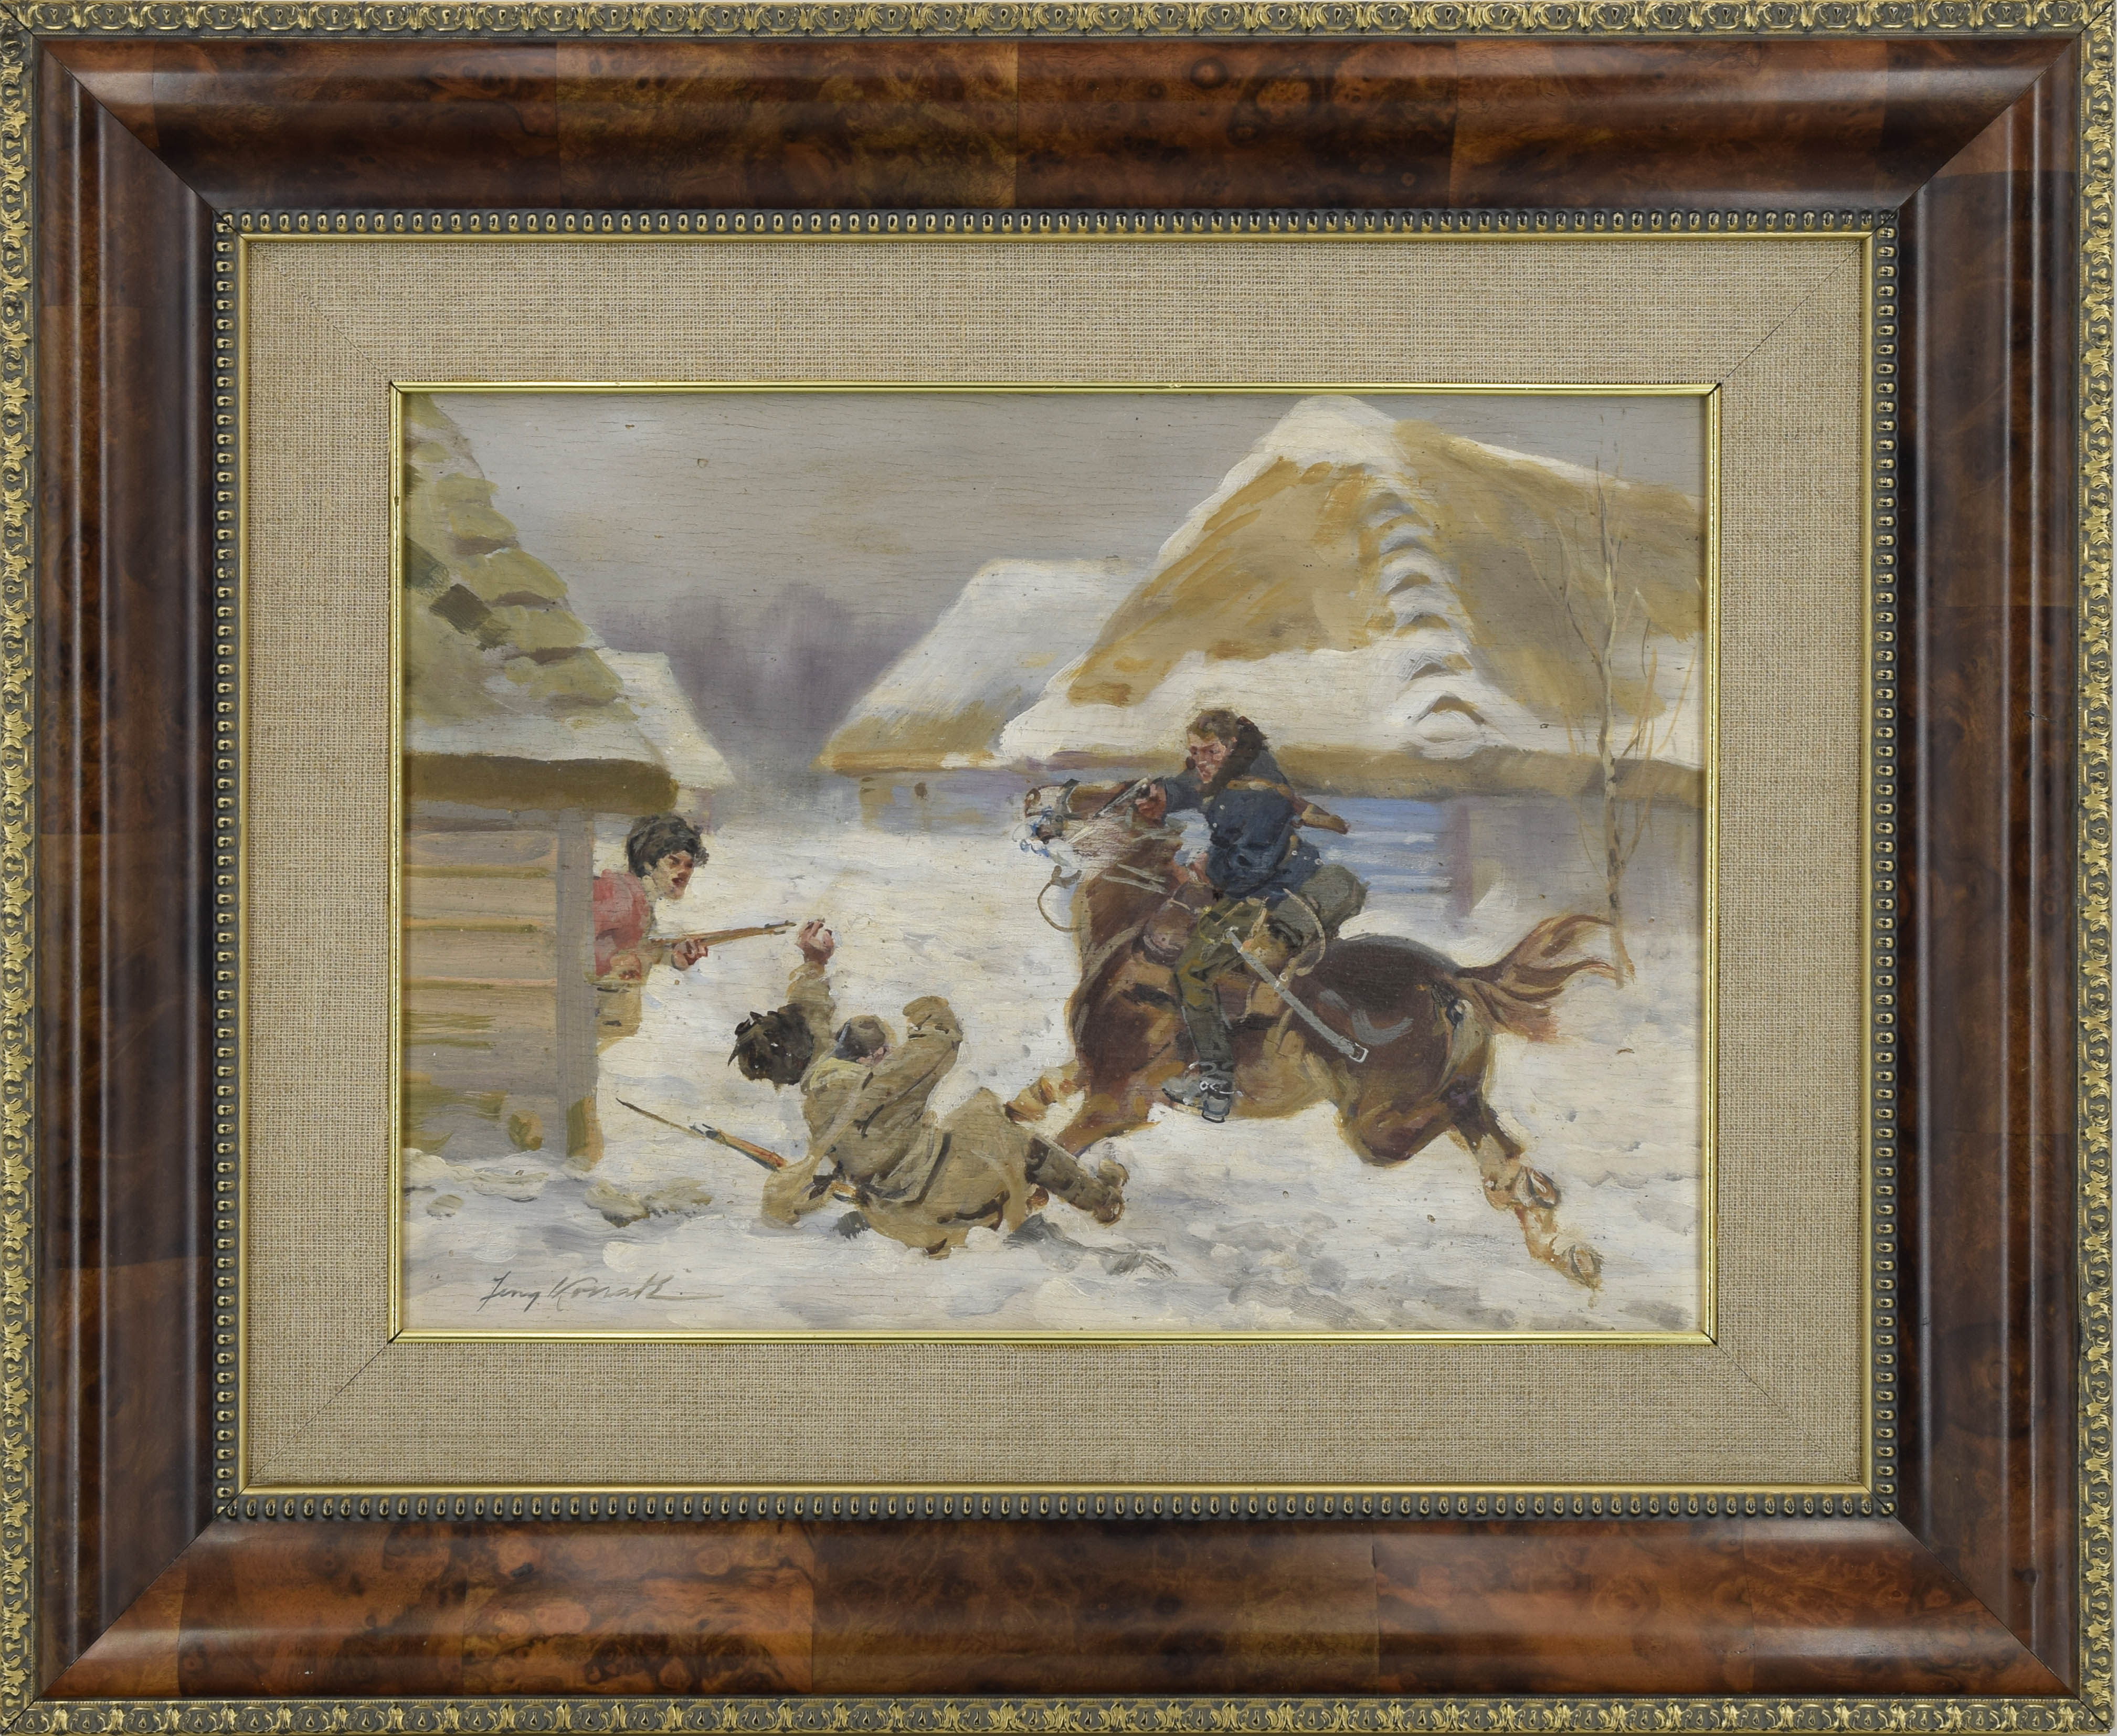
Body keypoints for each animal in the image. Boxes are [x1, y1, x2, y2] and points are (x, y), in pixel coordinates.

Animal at [1006, 784, 1616, 1289]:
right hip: (1442, 1100)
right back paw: (1565, 1245)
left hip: (1376, 1124)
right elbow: (1036, 1098)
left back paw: (1544, 1205)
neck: (1134, 939)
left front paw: (1074, 1194)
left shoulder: (1118, 1099)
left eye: (1100, 793)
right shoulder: (1091, 1073)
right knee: (1493, 1147)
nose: (1033, 796)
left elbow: (1053, 1154)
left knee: (1458, 1138)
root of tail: (1452, 976)